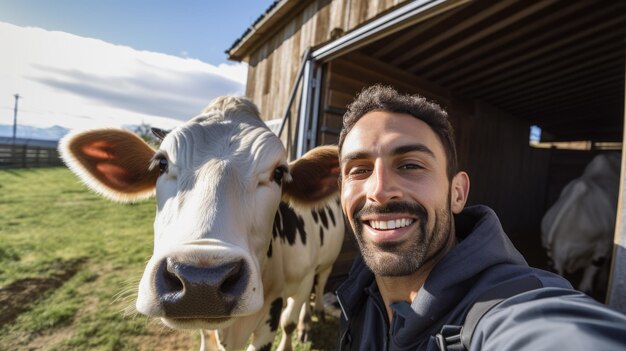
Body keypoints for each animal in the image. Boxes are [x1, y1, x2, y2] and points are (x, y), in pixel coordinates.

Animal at [57, 95, 346, 350]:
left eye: (279, 172)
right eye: (161, 163)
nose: (201, 283)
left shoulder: (279, 302)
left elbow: (287, 322)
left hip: (326, 263)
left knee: (317, 288)